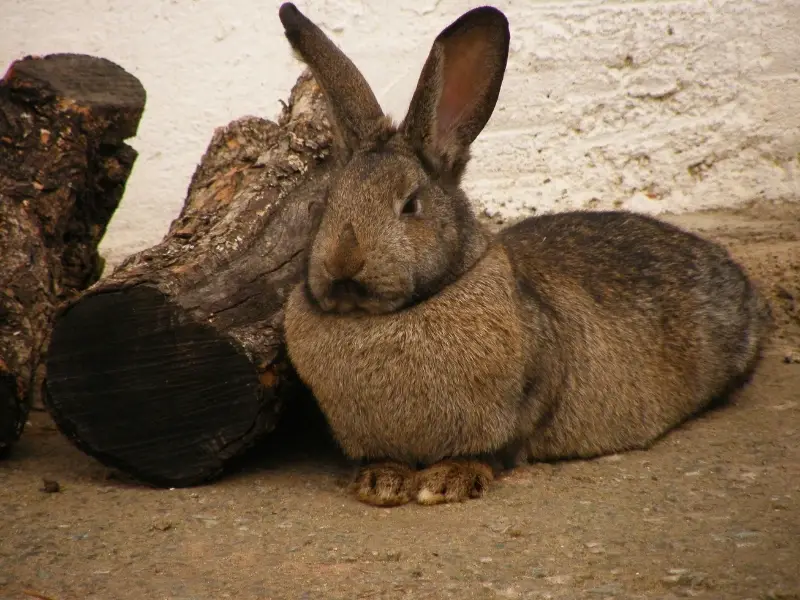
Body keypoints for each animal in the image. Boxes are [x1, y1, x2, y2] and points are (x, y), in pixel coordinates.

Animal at [278, 3, 772, 506]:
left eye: (411, 205)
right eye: (324, 204)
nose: (343, 265)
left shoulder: (528, 396)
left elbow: (494, 450)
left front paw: (447, 481)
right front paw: (382, 482)